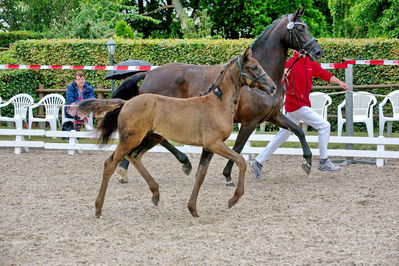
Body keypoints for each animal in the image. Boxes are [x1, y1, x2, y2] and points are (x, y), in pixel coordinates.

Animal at [113, 9, 324, 185]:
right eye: (300, 28)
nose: (318, 51)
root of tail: (148, 74)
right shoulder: (249, 121)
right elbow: (238, 147)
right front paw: (228, 175)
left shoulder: (273, 116)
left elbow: (298, 130)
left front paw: (307, 162)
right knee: (156, 139)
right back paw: (178, 163)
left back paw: (128, 168)